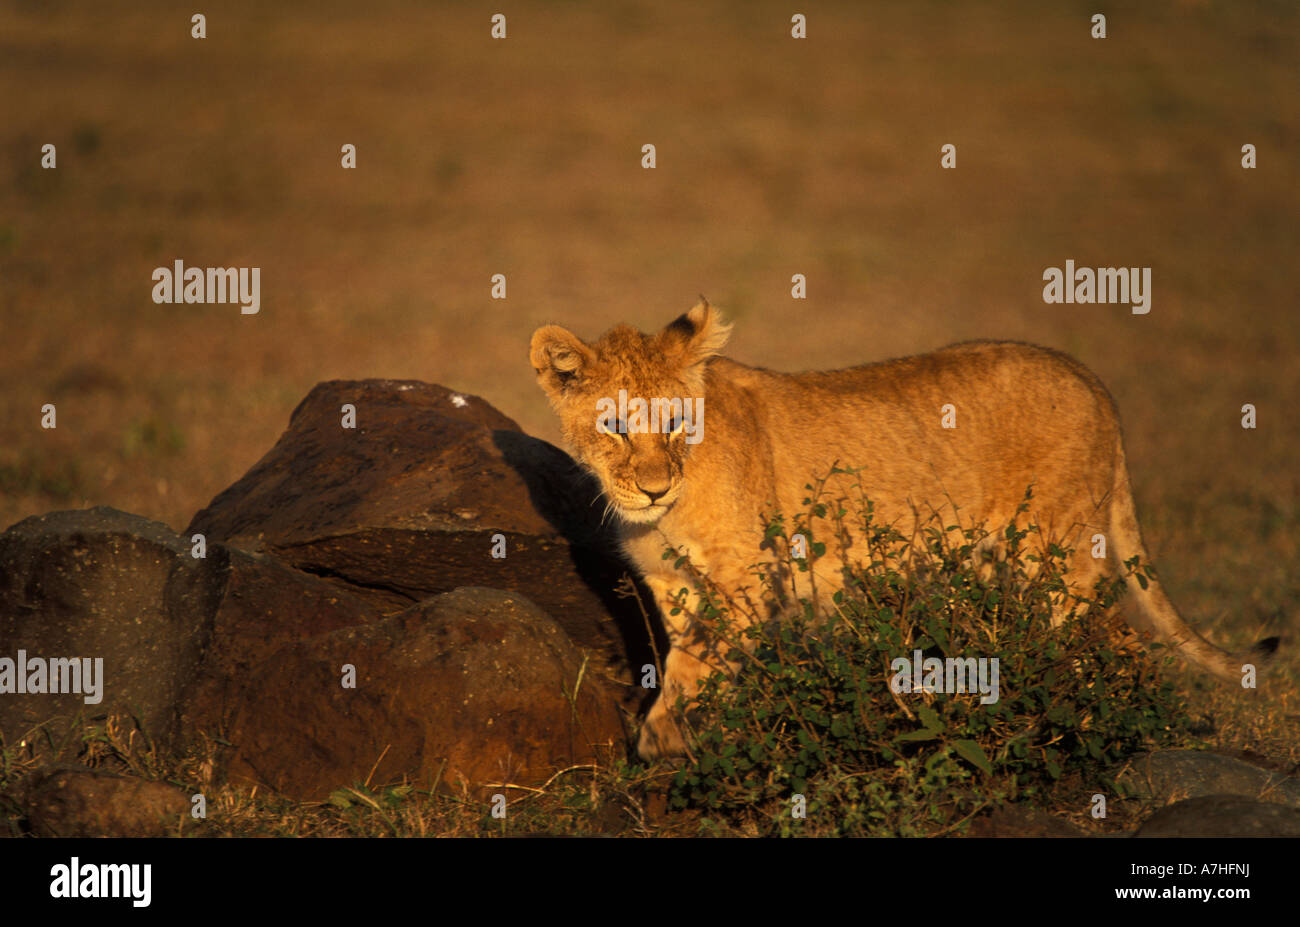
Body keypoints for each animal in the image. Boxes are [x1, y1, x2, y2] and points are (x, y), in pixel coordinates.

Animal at [530, 299, 1262, 759]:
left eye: (678, 422)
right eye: (615, 426)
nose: (655, 485)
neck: (660, 513)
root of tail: (1088, 376)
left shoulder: (749, 572)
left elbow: (697, 661)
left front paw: (661, 738)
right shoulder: (672, 582)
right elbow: (695, 658)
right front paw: (697, 734)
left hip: (1055, 556)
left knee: (1113, 642)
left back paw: (1092, 734)